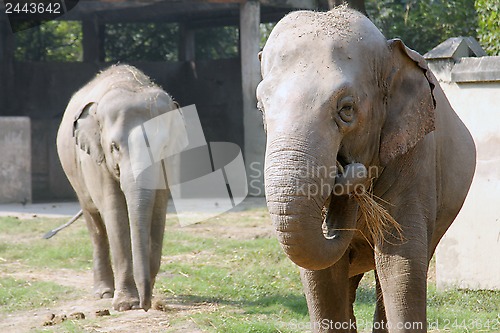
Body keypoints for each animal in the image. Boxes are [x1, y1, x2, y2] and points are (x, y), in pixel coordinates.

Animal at [56, 65, 186, 312]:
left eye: (164, 146)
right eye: (114, 147)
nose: (145, 305)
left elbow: (158, 210)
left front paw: (145, 295)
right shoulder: (95, 159)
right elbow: (114, 211)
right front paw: (125, 304)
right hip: (75, 175)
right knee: (95, 224)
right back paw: (104, 292)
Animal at [260, 7, 474, 332]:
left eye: (346, 109)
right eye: (260, 107)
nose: (349, 171)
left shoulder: (415, 157)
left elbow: (400, 261)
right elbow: (320, 276)